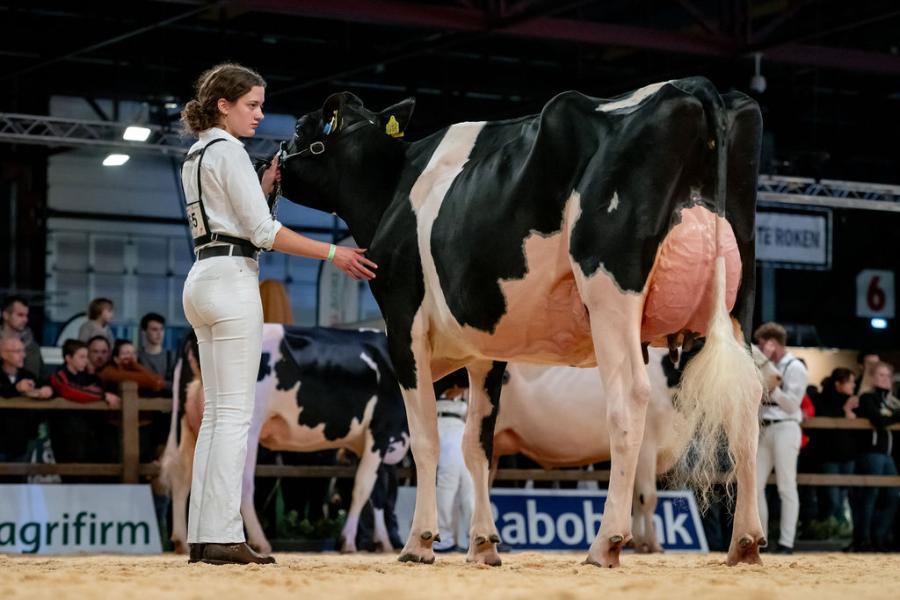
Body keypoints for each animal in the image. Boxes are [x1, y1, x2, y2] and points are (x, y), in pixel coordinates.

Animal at [160, 326, 410, 556]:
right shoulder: (380, 432)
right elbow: (363, 489)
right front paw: (348, 541)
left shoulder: (372, 444)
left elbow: (377, 495)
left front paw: (383, 542)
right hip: (247, 426)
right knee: (242, 483)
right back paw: (259, 541)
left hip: (188, 422)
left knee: (182, 475)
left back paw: (182, 541)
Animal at [278, 78, 764, 568]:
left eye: (300, 129)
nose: (267, 159)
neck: (392, 188)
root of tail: (691, 86)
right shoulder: (486, 352)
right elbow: (476, 446)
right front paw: (483, 545)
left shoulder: (404, 329)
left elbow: (427, 440)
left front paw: (420, 542)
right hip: (739, 299)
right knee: (746, 403)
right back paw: (744, 542)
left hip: (609, 290)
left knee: (629, 399)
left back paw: (605, 542)